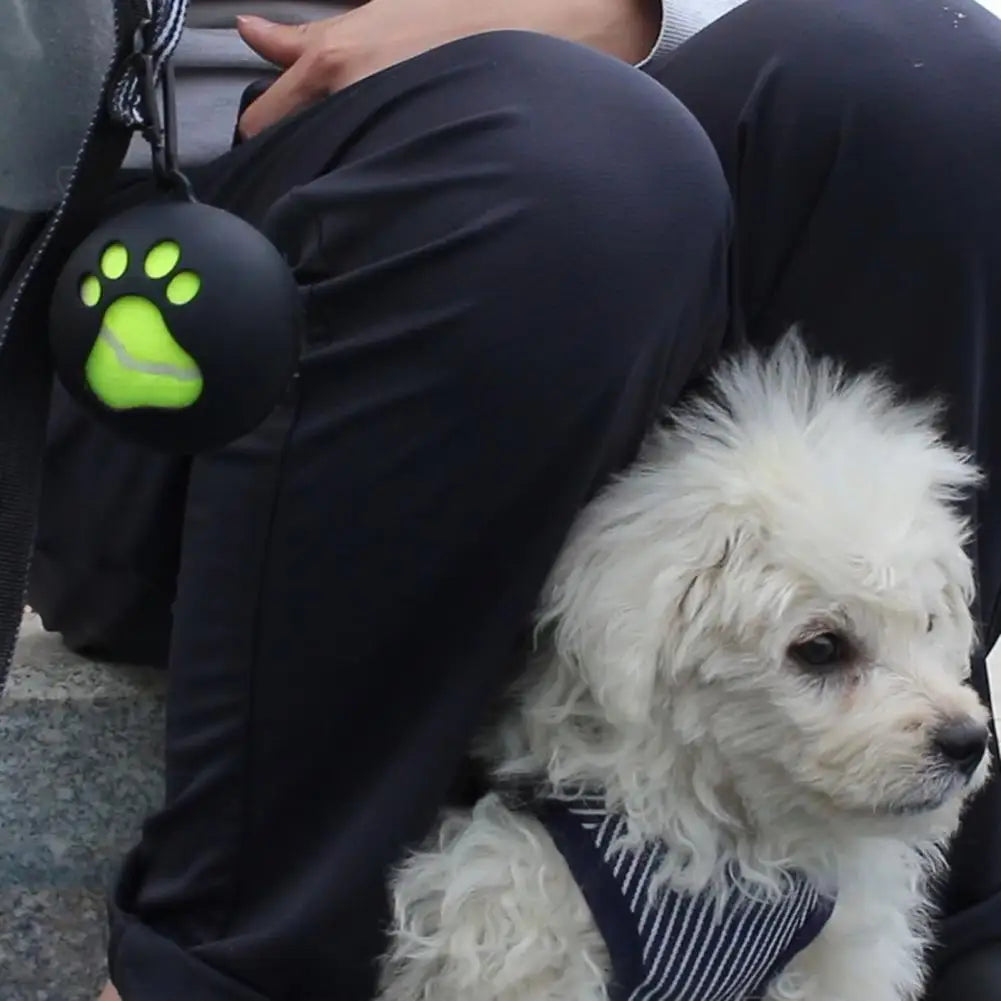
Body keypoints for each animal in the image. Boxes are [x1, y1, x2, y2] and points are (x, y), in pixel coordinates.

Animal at [376, 336, 992, 1001]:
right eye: (821, 648)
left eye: (928, 624)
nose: (969, 741)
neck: (734, 844)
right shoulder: (517, 918)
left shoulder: (836, 958)